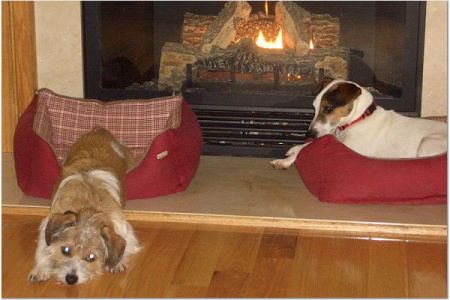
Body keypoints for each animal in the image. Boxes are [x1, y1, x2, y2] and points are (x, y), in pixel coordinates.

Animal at [270, 78, 446, 170]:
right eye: (314, 107)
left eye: (328, 108)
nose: (309, 134)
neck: (358, 119)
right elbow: (310, 144)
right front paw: (296, 147)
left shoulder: (349, 148)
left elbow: (309, 148)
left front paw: (285, 161)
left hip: (426, 142)